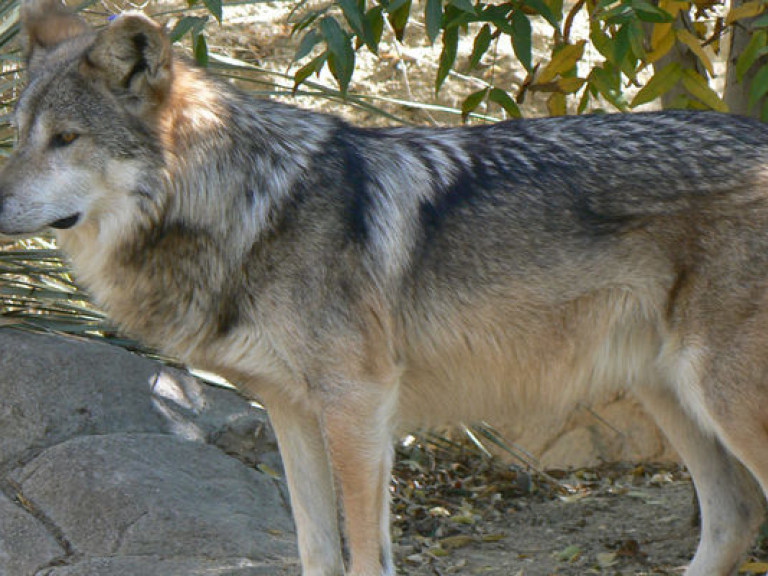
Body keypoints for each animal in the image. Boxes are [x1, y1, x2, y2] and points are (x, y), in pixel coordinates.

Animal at [1, 2, 768, 572]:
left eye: (66, 139)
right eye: (16, 135)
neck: (250, 206)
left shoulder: (358, 406)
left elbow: (365, 556)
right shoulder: (291, 410)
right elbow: (316, 552)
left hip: (718, 397)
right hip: (665, 389)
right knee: (733, 518)